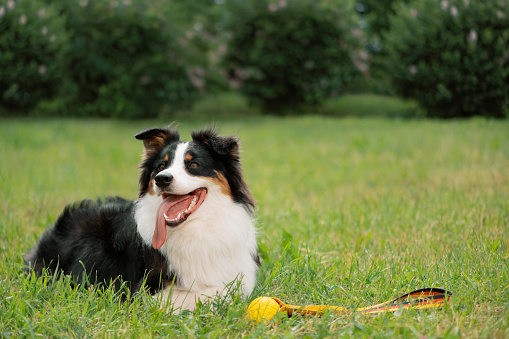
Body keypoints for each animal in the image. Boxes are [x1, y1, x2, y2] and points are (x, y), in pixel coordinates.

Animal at [23, 123, 258, 312]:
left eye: (193, 165)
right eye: (161, 166)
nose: (161, 179)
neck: (197, 229)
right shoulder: (144, 292)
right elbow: (216, 292)